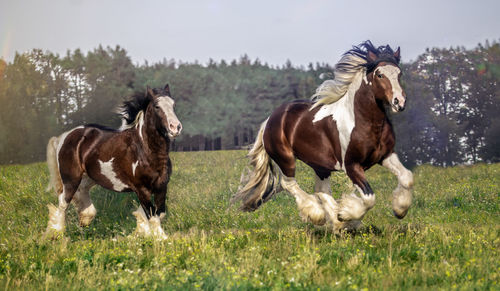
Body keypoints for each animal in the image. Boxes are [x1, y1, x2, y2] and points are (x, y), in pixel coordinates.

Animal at [44, 84, 182, 240]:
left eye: (173, 105)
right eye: (157, 106)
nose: (175, 127)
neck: (145, 151)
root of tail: (64, 137)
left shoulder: (161, 186)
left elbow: (158, 213)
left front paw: (141, 232)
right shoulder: (141, 188)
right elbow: (152, 215)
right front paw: (161, 239)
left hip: (89, 178)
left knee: (82, 197)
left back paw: (83, 223)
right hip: (71, 179)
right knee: (62, 204)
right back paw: (56, 234)